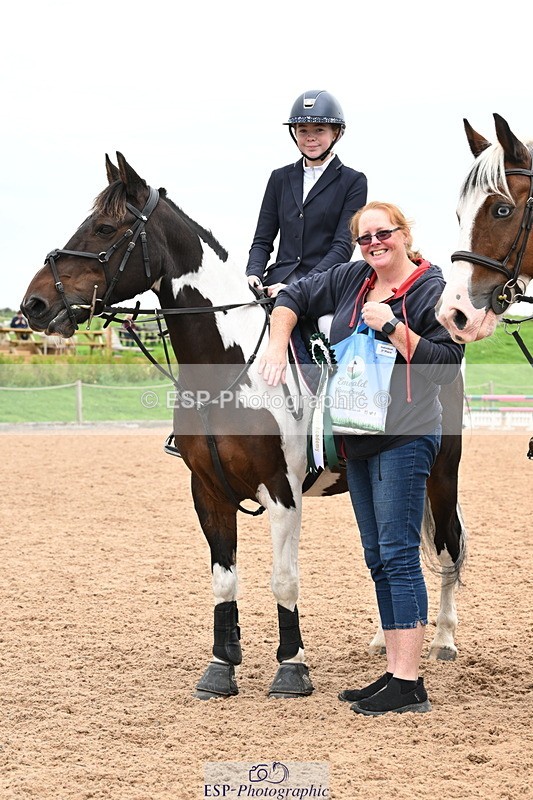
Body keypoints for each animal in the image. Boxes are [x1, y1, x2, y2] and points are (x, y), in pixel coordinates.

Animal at [21, 153, 466, 699]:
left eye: (104, 228)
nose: (34, 305)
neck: (229, 367)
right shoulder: (208, 490)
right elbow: (224, 580)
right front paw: (221, 664)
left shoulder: (282, 492)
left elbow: (284, 579)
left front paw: (292, 667)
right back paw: (385, 642)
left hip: (440, 475)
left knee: (446, 548)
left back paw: (443, 639)